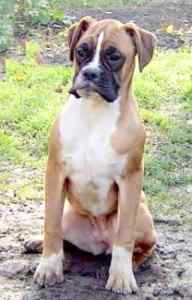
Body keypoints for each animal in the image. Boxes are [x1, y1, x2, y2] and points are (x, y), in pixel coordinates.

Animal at [33, 17, 157, 296]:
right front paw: (49, 268)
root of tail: (97, 241)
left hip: (143, 216)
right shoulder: (55, 173)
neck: (95, 112)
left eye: (114, 56)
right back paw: (37, 243)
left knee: (142, 247)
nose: (90, 73)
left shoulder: (131, 180)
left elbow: (124, 236)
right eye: (81, 51)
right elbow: (51, 225)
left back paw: (126, 266)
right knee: (62, 235)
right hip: (69, 213)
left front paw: (121, 276)